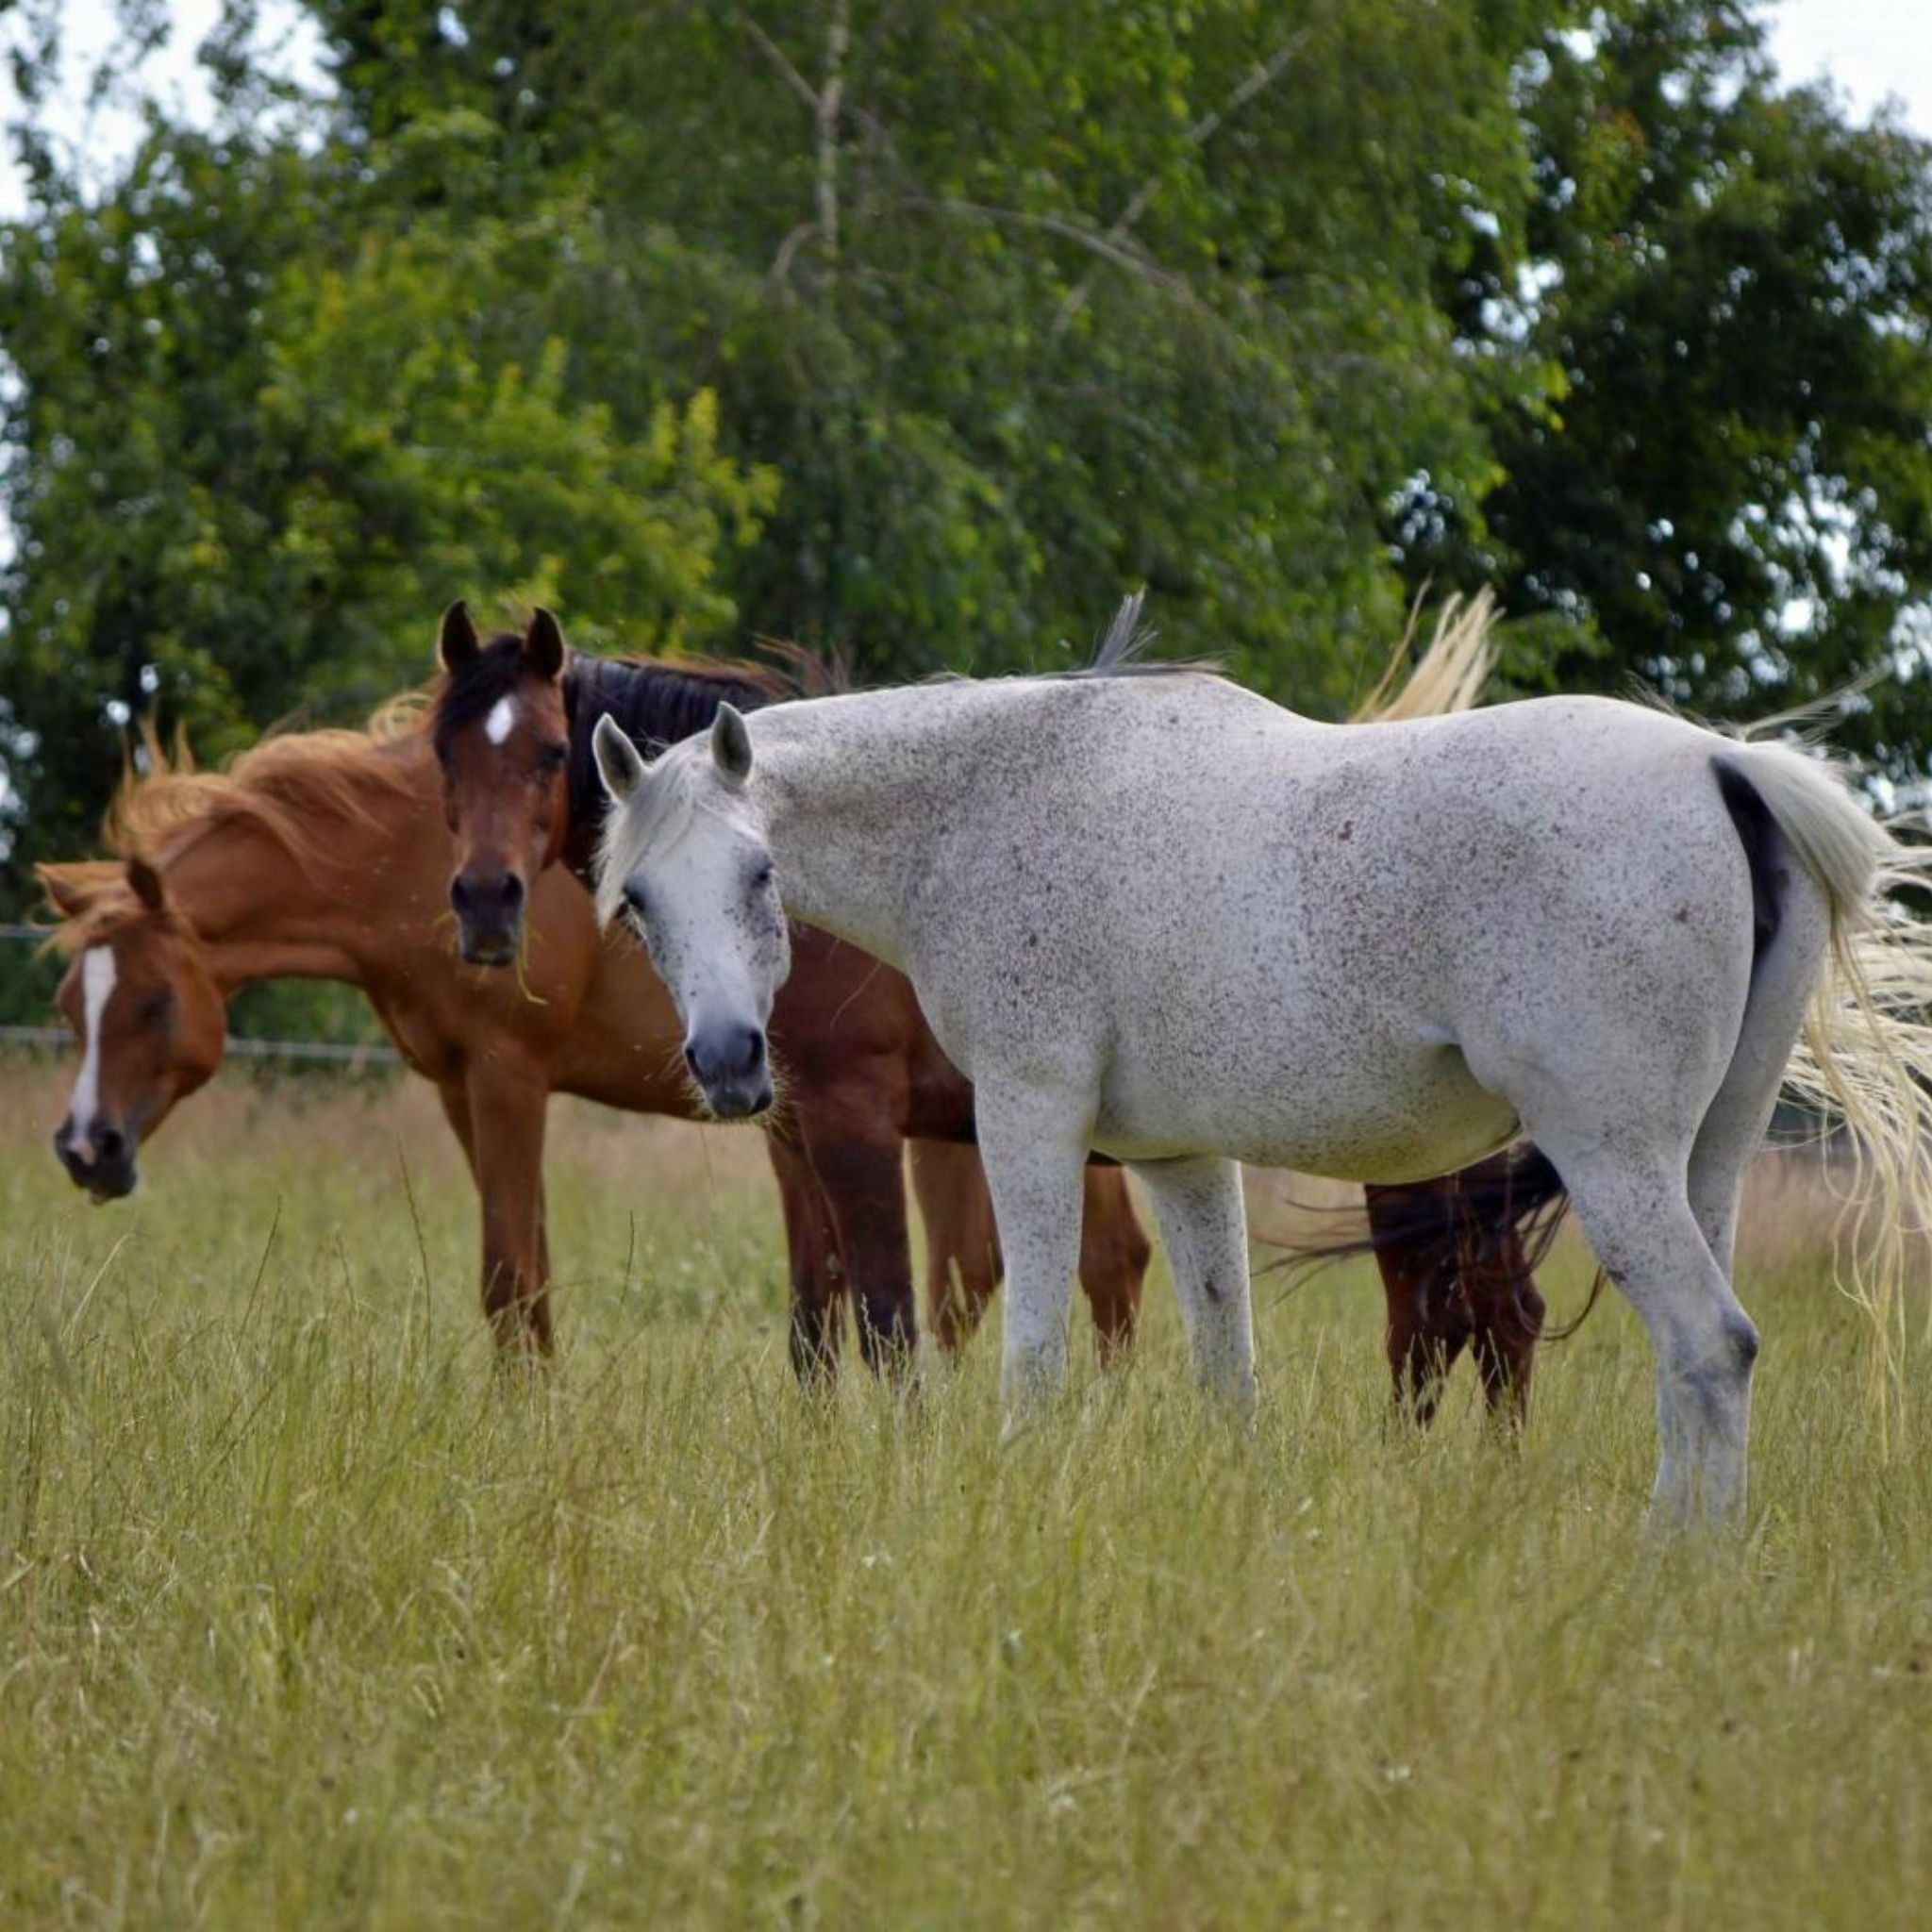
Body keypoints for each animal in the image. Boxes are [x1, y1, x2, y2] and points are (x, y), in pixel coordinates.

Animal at [42, 707, 1143, 1359]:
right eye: (67, 1006)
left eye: (150, 1001)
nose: (87, 1148)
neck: (419, 856)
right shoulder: (461, 1088)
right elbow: (521, 1274)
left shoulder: (507, 1077)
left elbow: (511, 1276)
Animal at [426, 602, 1568, 1422]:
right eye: (446, 753)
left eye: (542, 750)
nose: (483, 903)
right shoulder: (793, 1132)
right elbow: (813, 1324)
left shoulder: (854, 1124)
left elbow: (887, 1320)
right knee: (1471, 1314)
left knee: (1459, 1312)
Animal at [587, 602, 1932, 1522]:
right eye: (637, 899)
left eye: (758, 869)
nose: (728, 1059)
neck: (990, 802)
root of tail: (1720, 765)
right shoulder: (1180, 1161)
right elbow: (1223, 1366)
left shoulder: (1026, 1121)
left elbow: (1032, 1355)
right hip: (1700, 1164)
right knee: (1686, 1362)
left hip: (1612, 1161)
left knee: (1708, 1344)